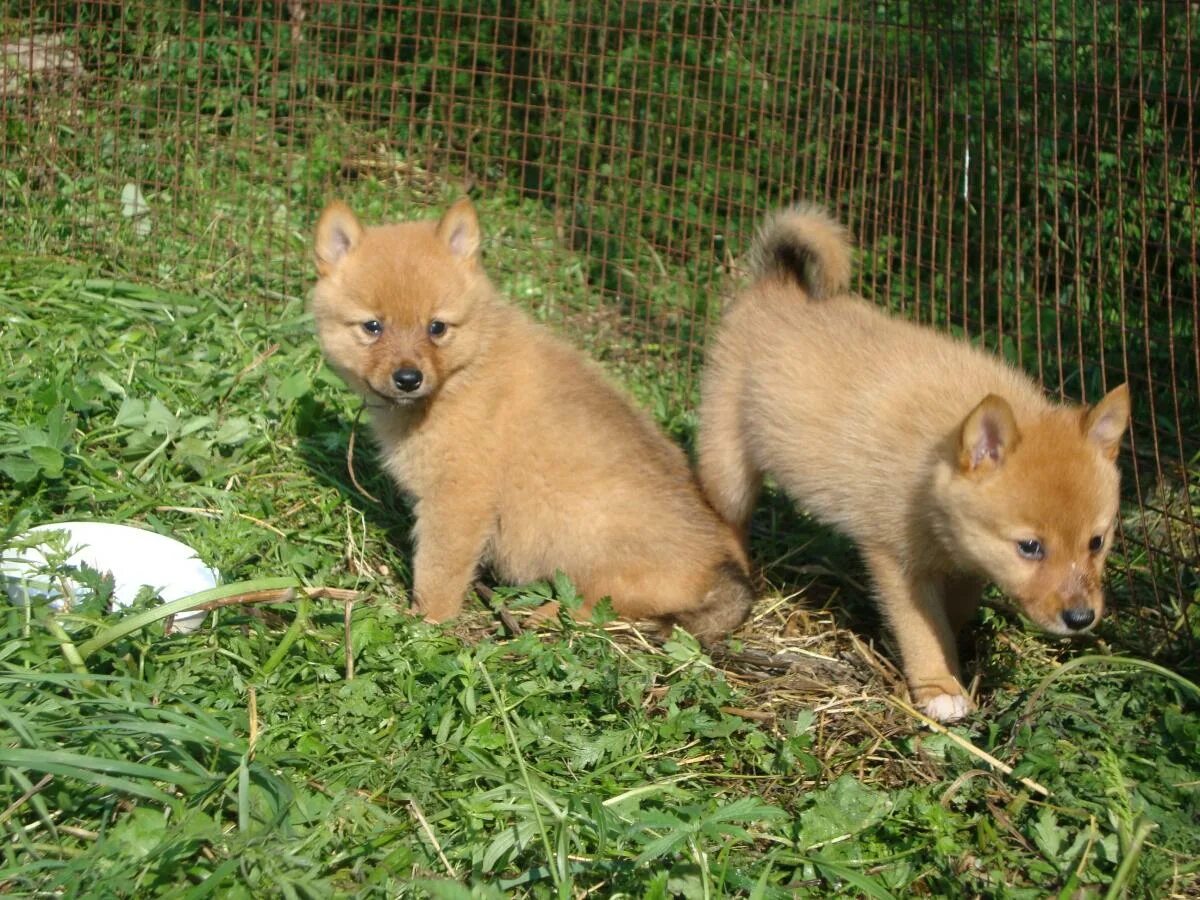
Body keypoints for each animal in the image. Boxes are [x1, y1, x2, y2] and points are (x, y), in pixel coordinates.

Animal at [314, 196, 753, 643]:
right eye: (373, 327)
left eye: (437, 327)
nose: (408, 379)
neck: (462, 376)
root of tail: (722, 569)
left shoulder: (458, 500)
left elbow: (438, 571)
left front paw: (426, 623)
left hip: (583, 533)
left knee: (604, 605)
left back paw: (547, 615)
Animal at [700, 206, 1128, 724]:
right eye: (1030, 547)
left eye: (1096, 542)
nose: (1081, 618)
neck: (930, 469)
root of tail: (775, 282)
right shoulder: (896, 563)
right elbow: (922, 631)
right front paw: (939, 687)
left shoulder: (965, 563)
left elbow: (954, 612)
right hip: (729, 468)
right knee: (726, 518)